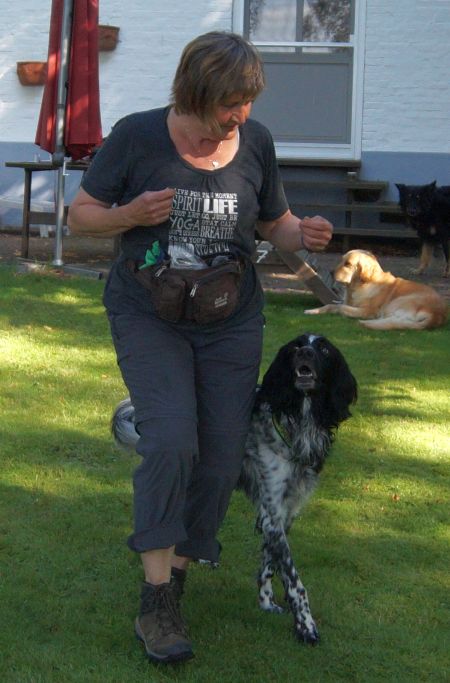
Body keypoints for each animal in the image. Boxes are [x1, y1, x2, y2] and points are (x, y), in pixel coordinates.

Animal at [111, 333, 357, 644]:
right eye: (295, 346)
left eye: (323, 350)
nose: (305, 353)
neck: (300, 419)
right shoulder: (273, 511)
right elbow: (294, 579)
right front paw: (305, 625)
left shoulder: (283, 512)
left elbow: (269, 562)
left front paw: (266, 603)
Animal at [304, 250, 448, 330]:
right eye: (341, 260)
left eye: (348, 264)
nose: (331, 272)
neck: (360, 286)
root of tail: (438, 315)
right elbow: (330, 305)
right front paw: (312, 311)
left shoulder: (369, 310)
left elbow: (340, 307)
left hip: (395, 303)